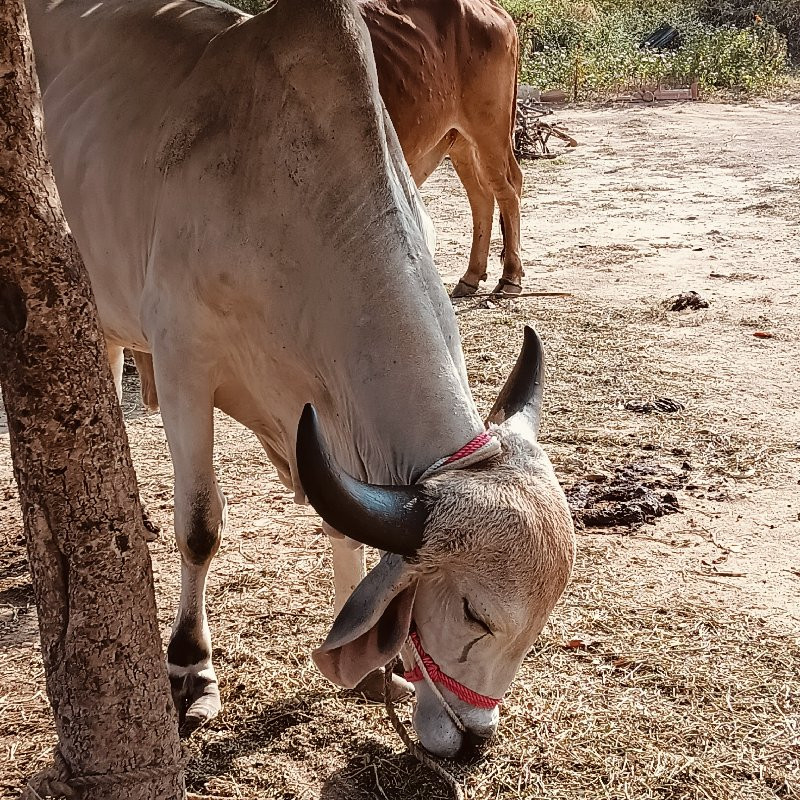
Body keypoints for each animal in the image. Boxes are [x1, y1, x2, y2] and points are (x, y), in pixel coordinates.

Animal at [360, 0, 524, 296]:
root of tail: (494, 8)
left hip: (489, 128)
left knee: (508, 187)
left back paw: (509, 277)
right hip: (459, 139)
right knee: (482, 195)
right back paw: (471, 277)